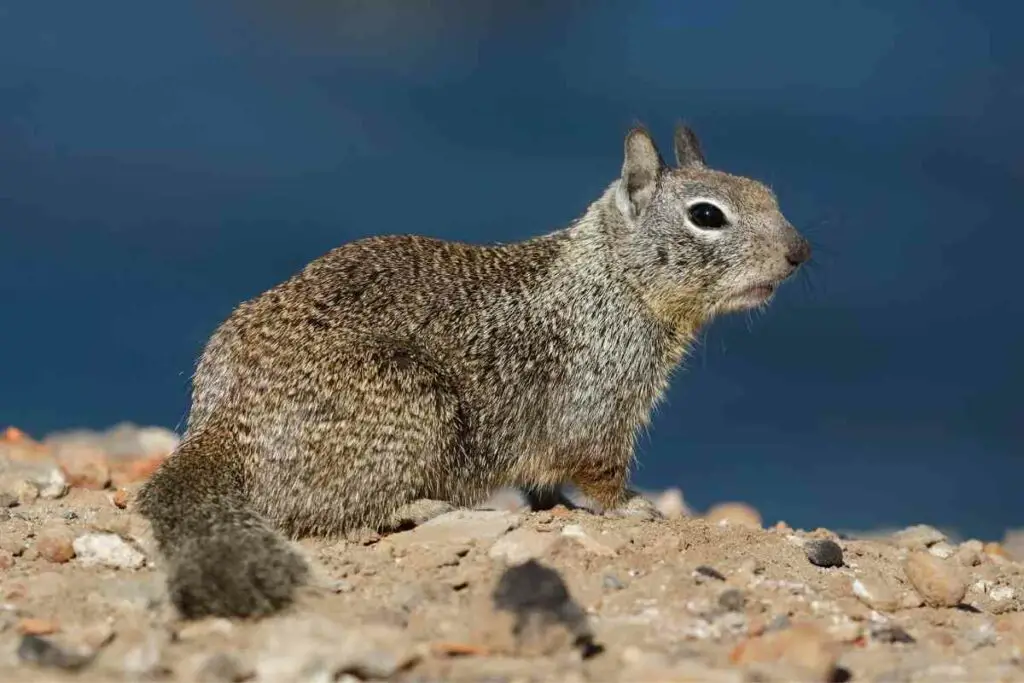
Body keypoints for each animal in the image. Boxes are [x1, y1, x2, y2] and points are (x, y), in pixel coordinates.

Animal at [136, 122, 811, 618]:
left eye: (768, 193)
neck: (612, 278)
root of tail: (222, 424)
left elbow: (548, 482)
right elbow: (597, 468)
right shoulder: (599, 399)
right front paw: (632, 508)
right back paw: (421, 508)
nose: (800, 252)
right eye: (707, 216)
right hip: (411, 403)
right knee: (323, 513)